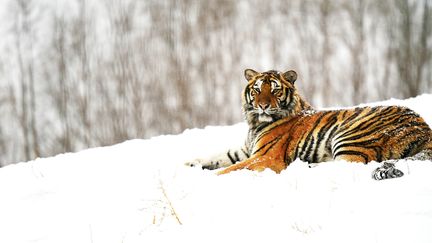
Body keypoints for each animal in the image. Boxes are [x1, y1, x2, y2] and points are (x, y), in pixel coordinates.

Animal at [188, 69, 432, 179]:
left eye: (274, 89)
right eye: (257, 89)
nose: (263, 105)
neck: (255, 124)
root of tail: (424, 126)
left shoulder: (266, 156)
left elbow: (232, 168)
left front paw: (210, 178)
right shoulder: (247, 149)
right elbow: (219, 157)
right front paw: (189, 164)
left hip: (350, 135)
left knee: (348, 164)